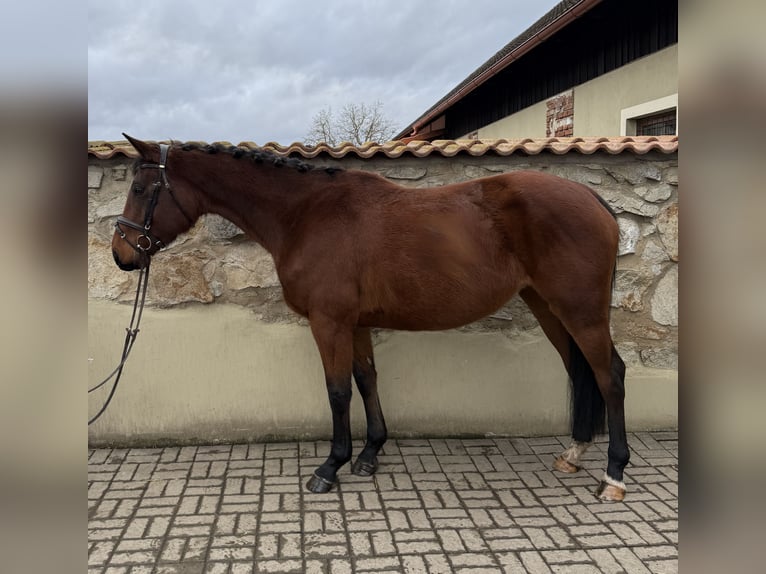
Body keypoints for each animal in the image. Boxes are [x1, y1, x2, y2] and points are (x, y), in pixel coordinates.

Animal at [111, 135, 630, 501]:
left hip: (580, 310)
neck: (306, 215)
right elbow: (366, 380)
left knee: (610, 375)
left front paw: (330, 467)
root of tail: (591, 198)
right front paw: (370, 454)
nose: (121, 255)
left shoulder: (330, 322)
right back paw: (574, 454)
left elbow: (338, 391)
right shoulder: (355, 323)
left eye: (140, 188)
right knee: (579, 370)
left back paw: (613, 475)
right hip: (548, 307)